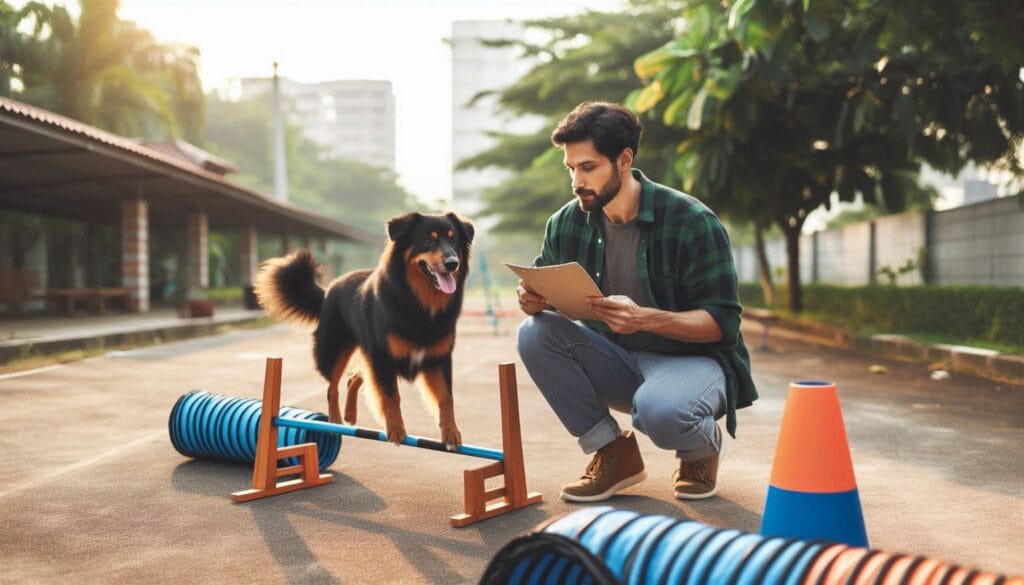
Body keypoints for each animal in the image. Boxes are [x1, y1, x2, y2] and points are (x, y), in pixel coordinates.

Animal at [256, 213, 479, 450]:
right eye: (428, 240)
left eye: (454, 240)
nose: (452, 263)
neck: (419, 302)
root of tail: (327, 291)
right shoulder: (383, 357)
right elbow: (391, 396)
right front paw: (396, 429)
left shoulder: (439, 358)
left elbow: (446, 397)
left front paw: (451, 432)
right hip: (335, 350)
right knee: (332, 386)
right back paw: (336, 422)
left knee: (354, 377)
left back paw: (350, 414)